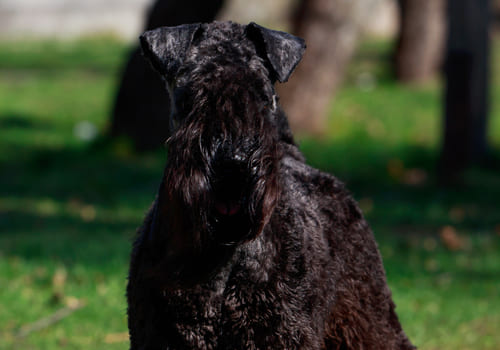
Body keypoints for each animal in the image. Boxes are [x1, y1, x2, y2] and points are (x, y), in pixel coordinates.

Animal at [127, 20, 416, 348]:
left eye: (263, 95)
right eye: (195, 91)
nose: (235, 160)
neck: (222, 251)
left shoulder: (281, 332)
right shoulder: (161, 333)